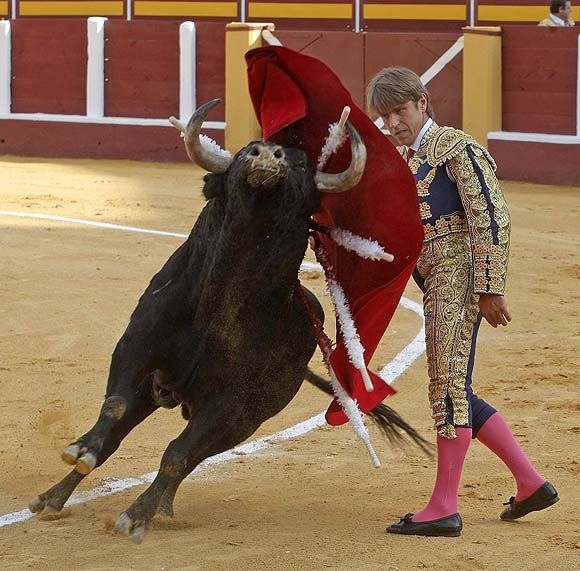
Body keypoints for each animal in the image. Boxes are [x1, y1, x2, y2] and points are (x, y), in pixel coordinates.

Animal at [28, 100, 426, 544]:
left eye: (302, 165)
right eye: (242, 154)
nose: (267, 154)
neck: (225, 301)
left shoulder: (232, 406)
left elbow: (178, 454)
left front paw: (136, 517)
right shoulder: (137, 347)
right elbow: (114, 408)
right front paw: (81, 452)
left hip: (247, 420)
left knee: (190, 456)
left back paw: (159, 507)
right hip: (157, 390)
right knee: (122, 430)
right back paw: (53, 497)